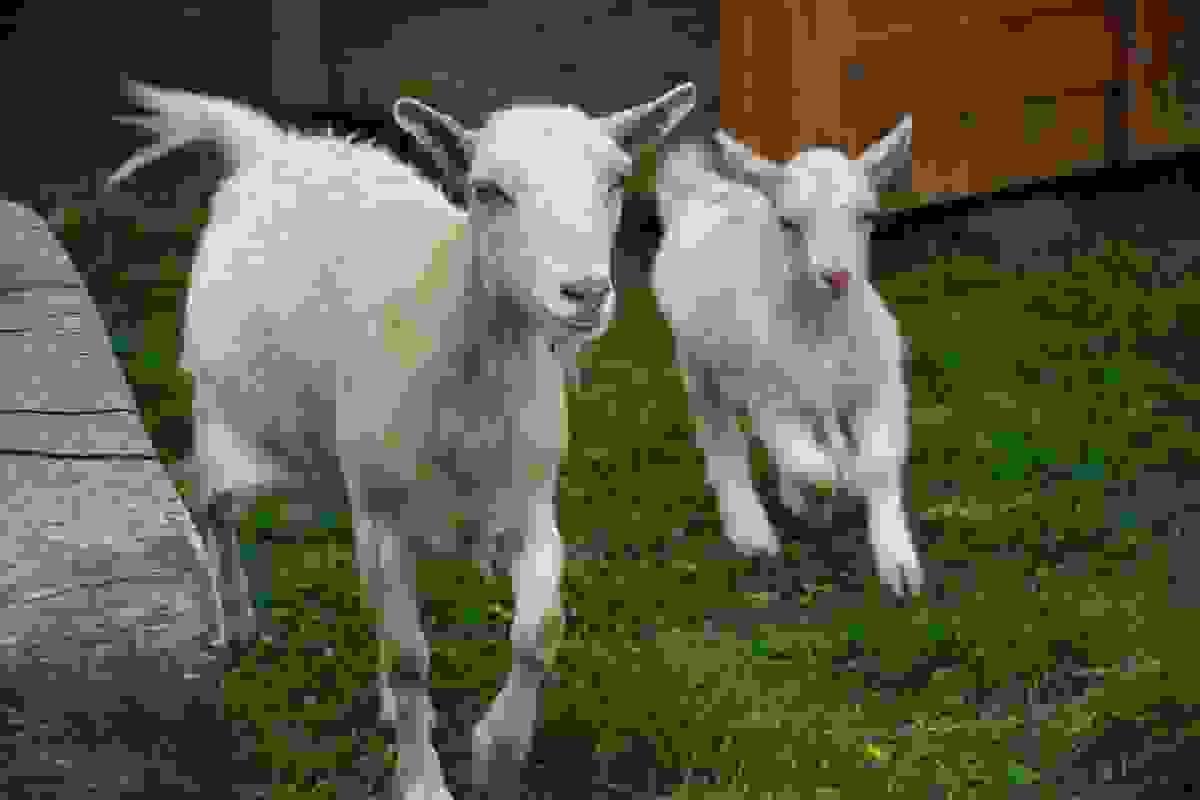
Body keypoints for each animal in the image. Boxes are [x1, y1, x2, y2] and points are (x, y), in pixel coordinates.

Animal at [108, 78, 697, 798]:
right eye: (487, 189)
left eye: (615, 178)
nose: (584, 293)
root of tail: (271, 145)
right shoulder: (385, 518)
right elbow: (410, 657)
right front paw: (423, 782)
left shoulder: (530, 505)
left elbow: (539, 631)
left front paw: (497, 752)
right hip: (229, 416)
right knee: (216, 502)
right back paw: (238, 625)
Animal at [651, 117, 923, 597]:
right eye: (788, 222)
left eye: (867, 216)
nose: (835, 276)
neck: (824, 332)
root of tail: (699, 187)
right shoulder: (769, 395)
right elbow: (805, 458)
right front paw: (832, 483)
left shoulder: (880, 386)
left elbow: (878, 463)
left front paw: (899, 565)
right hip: (696, 359)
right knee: (720, 433)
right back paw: (751, 529)